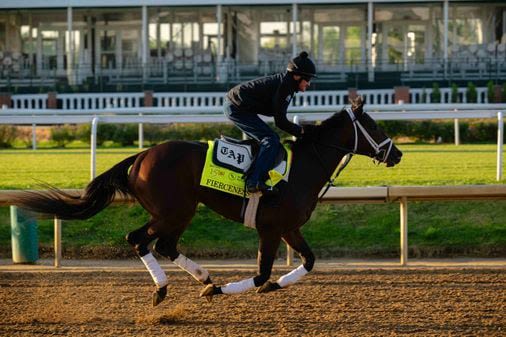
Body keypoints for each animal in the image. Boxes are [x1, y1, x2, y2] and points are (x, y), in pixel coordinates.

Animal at [12, 96, 404, 304]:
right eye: (375, 126)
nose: (397, 153)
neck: (301, 170)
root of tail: (141, 156)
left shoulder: (289, 228)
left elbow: (307, 261)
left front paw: (271, 284)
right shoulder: (270, 229)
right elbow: (260, 273)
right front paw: (222, 290)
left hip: (180, 211)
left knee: (164, 245)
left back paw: (203, 277)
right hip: (174, 210)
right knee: (139, 239)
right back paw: (166, 289)